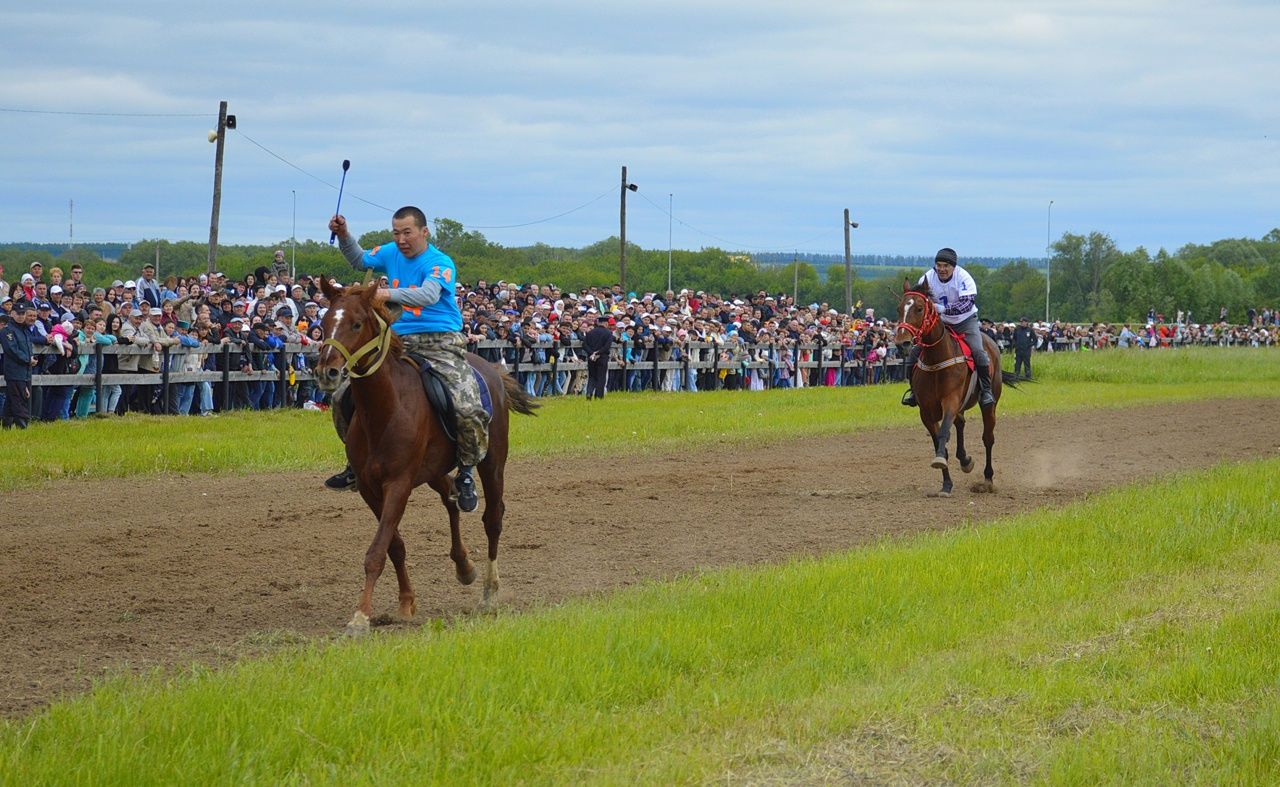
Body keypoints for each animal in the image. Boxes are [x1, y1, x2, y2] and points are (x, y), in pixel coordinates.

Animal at [314, 277, 535, 634]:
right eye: (323, 324)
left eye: (357, 323)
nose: (328, 372)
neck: (385, 409)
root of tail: (491, 370)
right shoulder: (369, 488)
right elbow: (394, 546)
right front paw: (406, 602)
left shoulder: (399, 484)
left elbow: (377, 550)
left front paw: (360, 617)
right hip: (434, 471)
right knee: (451, 500)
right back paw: (464, 565)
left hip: (493, 462)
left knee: (493, 518)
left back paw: (489, 593)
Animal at [890, 280, 1008, 496]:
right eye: (899, 308)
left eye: (919, 308)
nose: (902, 343)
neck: (937, 359)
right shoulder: (926, 411)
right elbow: (940, 442)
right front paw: (946, 483)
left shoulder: (951, 401)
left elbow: (945, 431)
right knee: (960, 423)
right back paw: (965, 460)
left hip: (990, 403)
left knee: (988, 437)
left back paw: (987, 480)